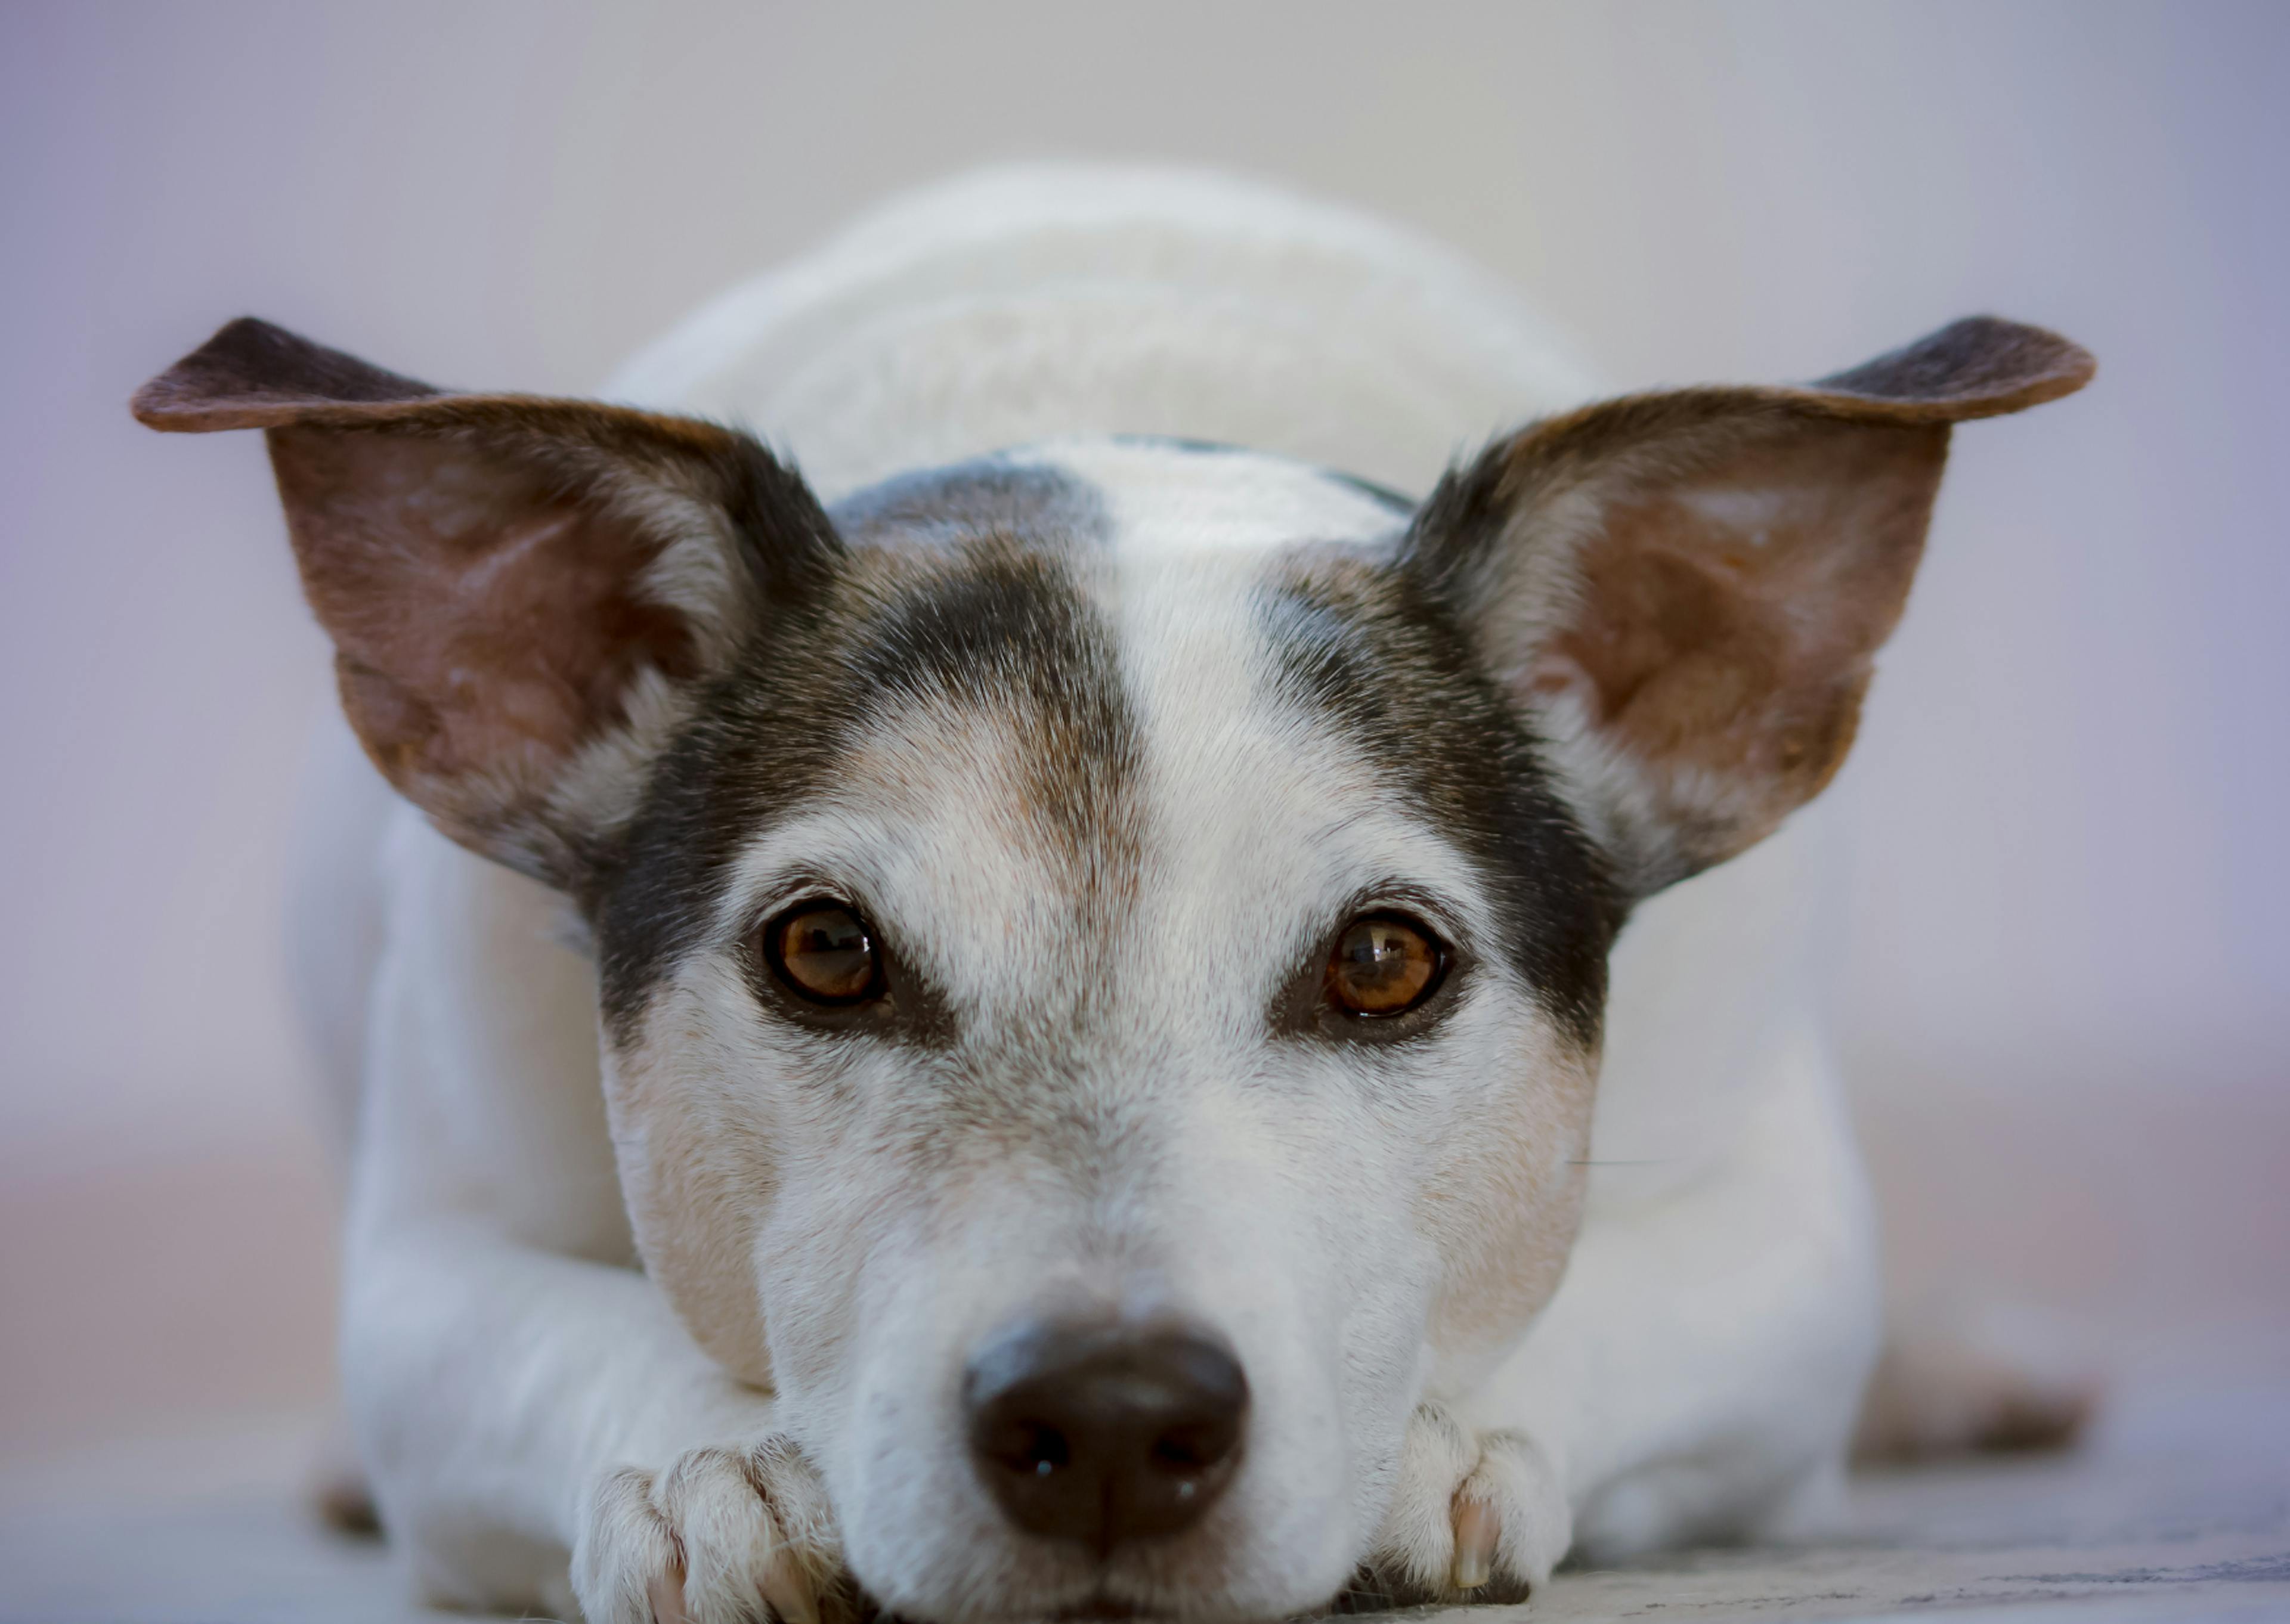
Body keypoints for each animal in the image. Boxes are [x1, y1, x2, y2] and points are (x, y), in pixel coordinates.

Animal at [129, 171, 2097, 1612]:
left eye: (1386, 962)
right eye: (821, 949)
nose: (1109, 1412)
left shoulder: (1781, 1234)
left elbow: (1621, 1297)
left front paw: (1433, 1441)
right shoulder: (427, 1256)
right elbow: (541, 1332)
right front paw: (719, 1457)